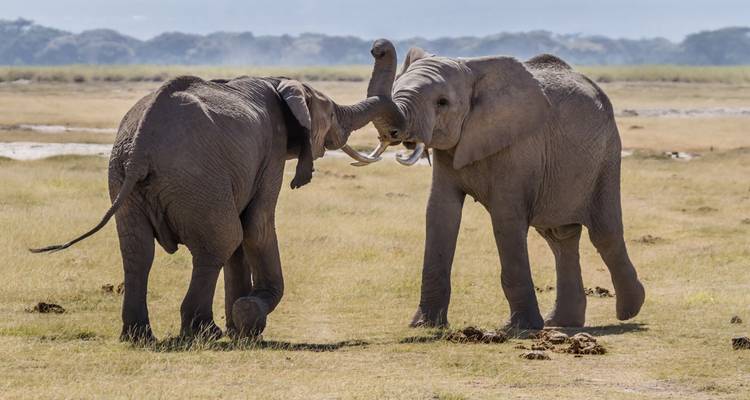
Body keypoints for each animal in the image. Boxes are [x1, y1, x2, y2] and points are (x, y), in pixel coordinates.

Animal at [31, 74, 393, 341]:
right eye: (330, 113)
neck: (280, 82)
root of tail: (142, 143)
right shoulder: (271, 151)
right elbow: (256, 227)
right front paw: (248, 321)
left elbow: (243, 235)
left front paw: (240, 326)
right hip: (195, 177)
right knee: (220, 240)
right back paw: (204, 332)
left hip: (123, 177)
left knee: (138, 252)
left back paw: (138, 336)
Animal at [356, 39, 645, 330]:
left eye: (442, 102)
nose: (378, 47)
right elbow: (440, 213)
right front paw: (425, 326)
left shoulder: (518, 145)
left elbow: (506, 218)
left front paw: (520, 329)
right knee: (559, 237)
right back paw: (562, 323)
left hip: (606, 155)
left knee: (604, 233)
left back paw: (630, 310)